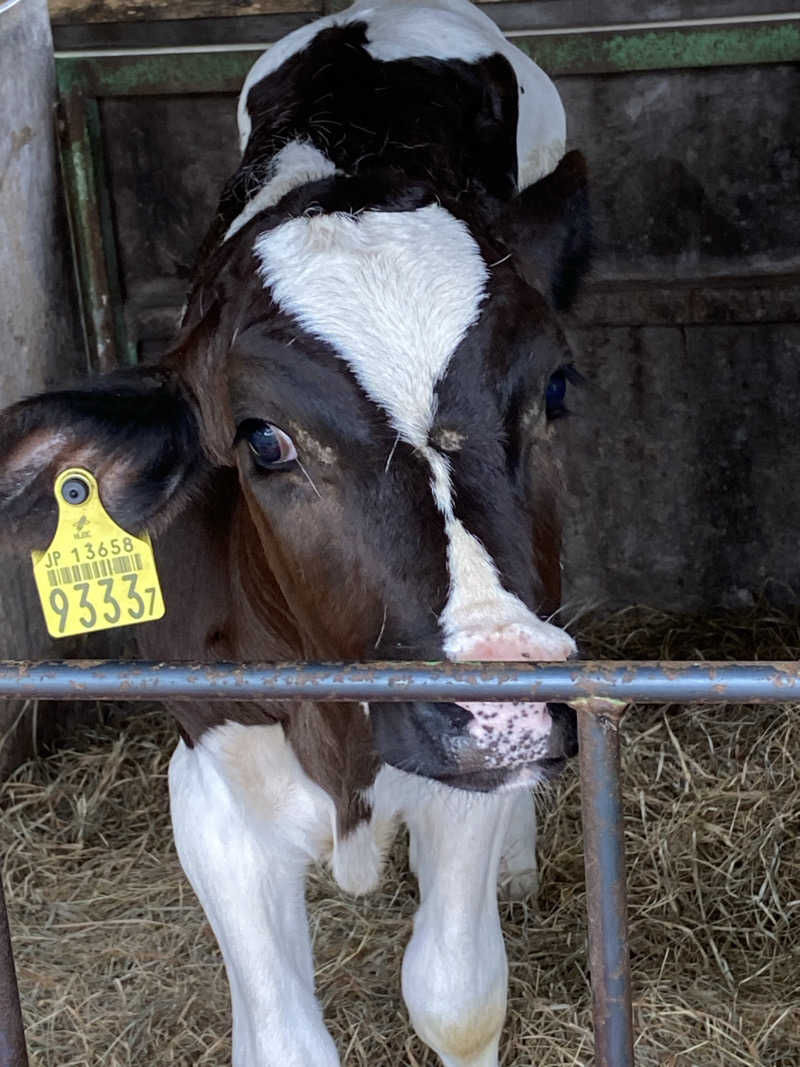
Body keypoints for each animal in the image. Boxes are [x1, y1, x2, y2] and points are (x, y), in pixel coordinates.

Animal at [0, 4, 593, 1062]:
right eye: (264, 439)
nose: (506, 704)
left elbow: (457, 993)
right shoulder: (210, 781)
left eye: (554, 390)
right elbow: (284, 1039)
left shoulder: (462, 765)